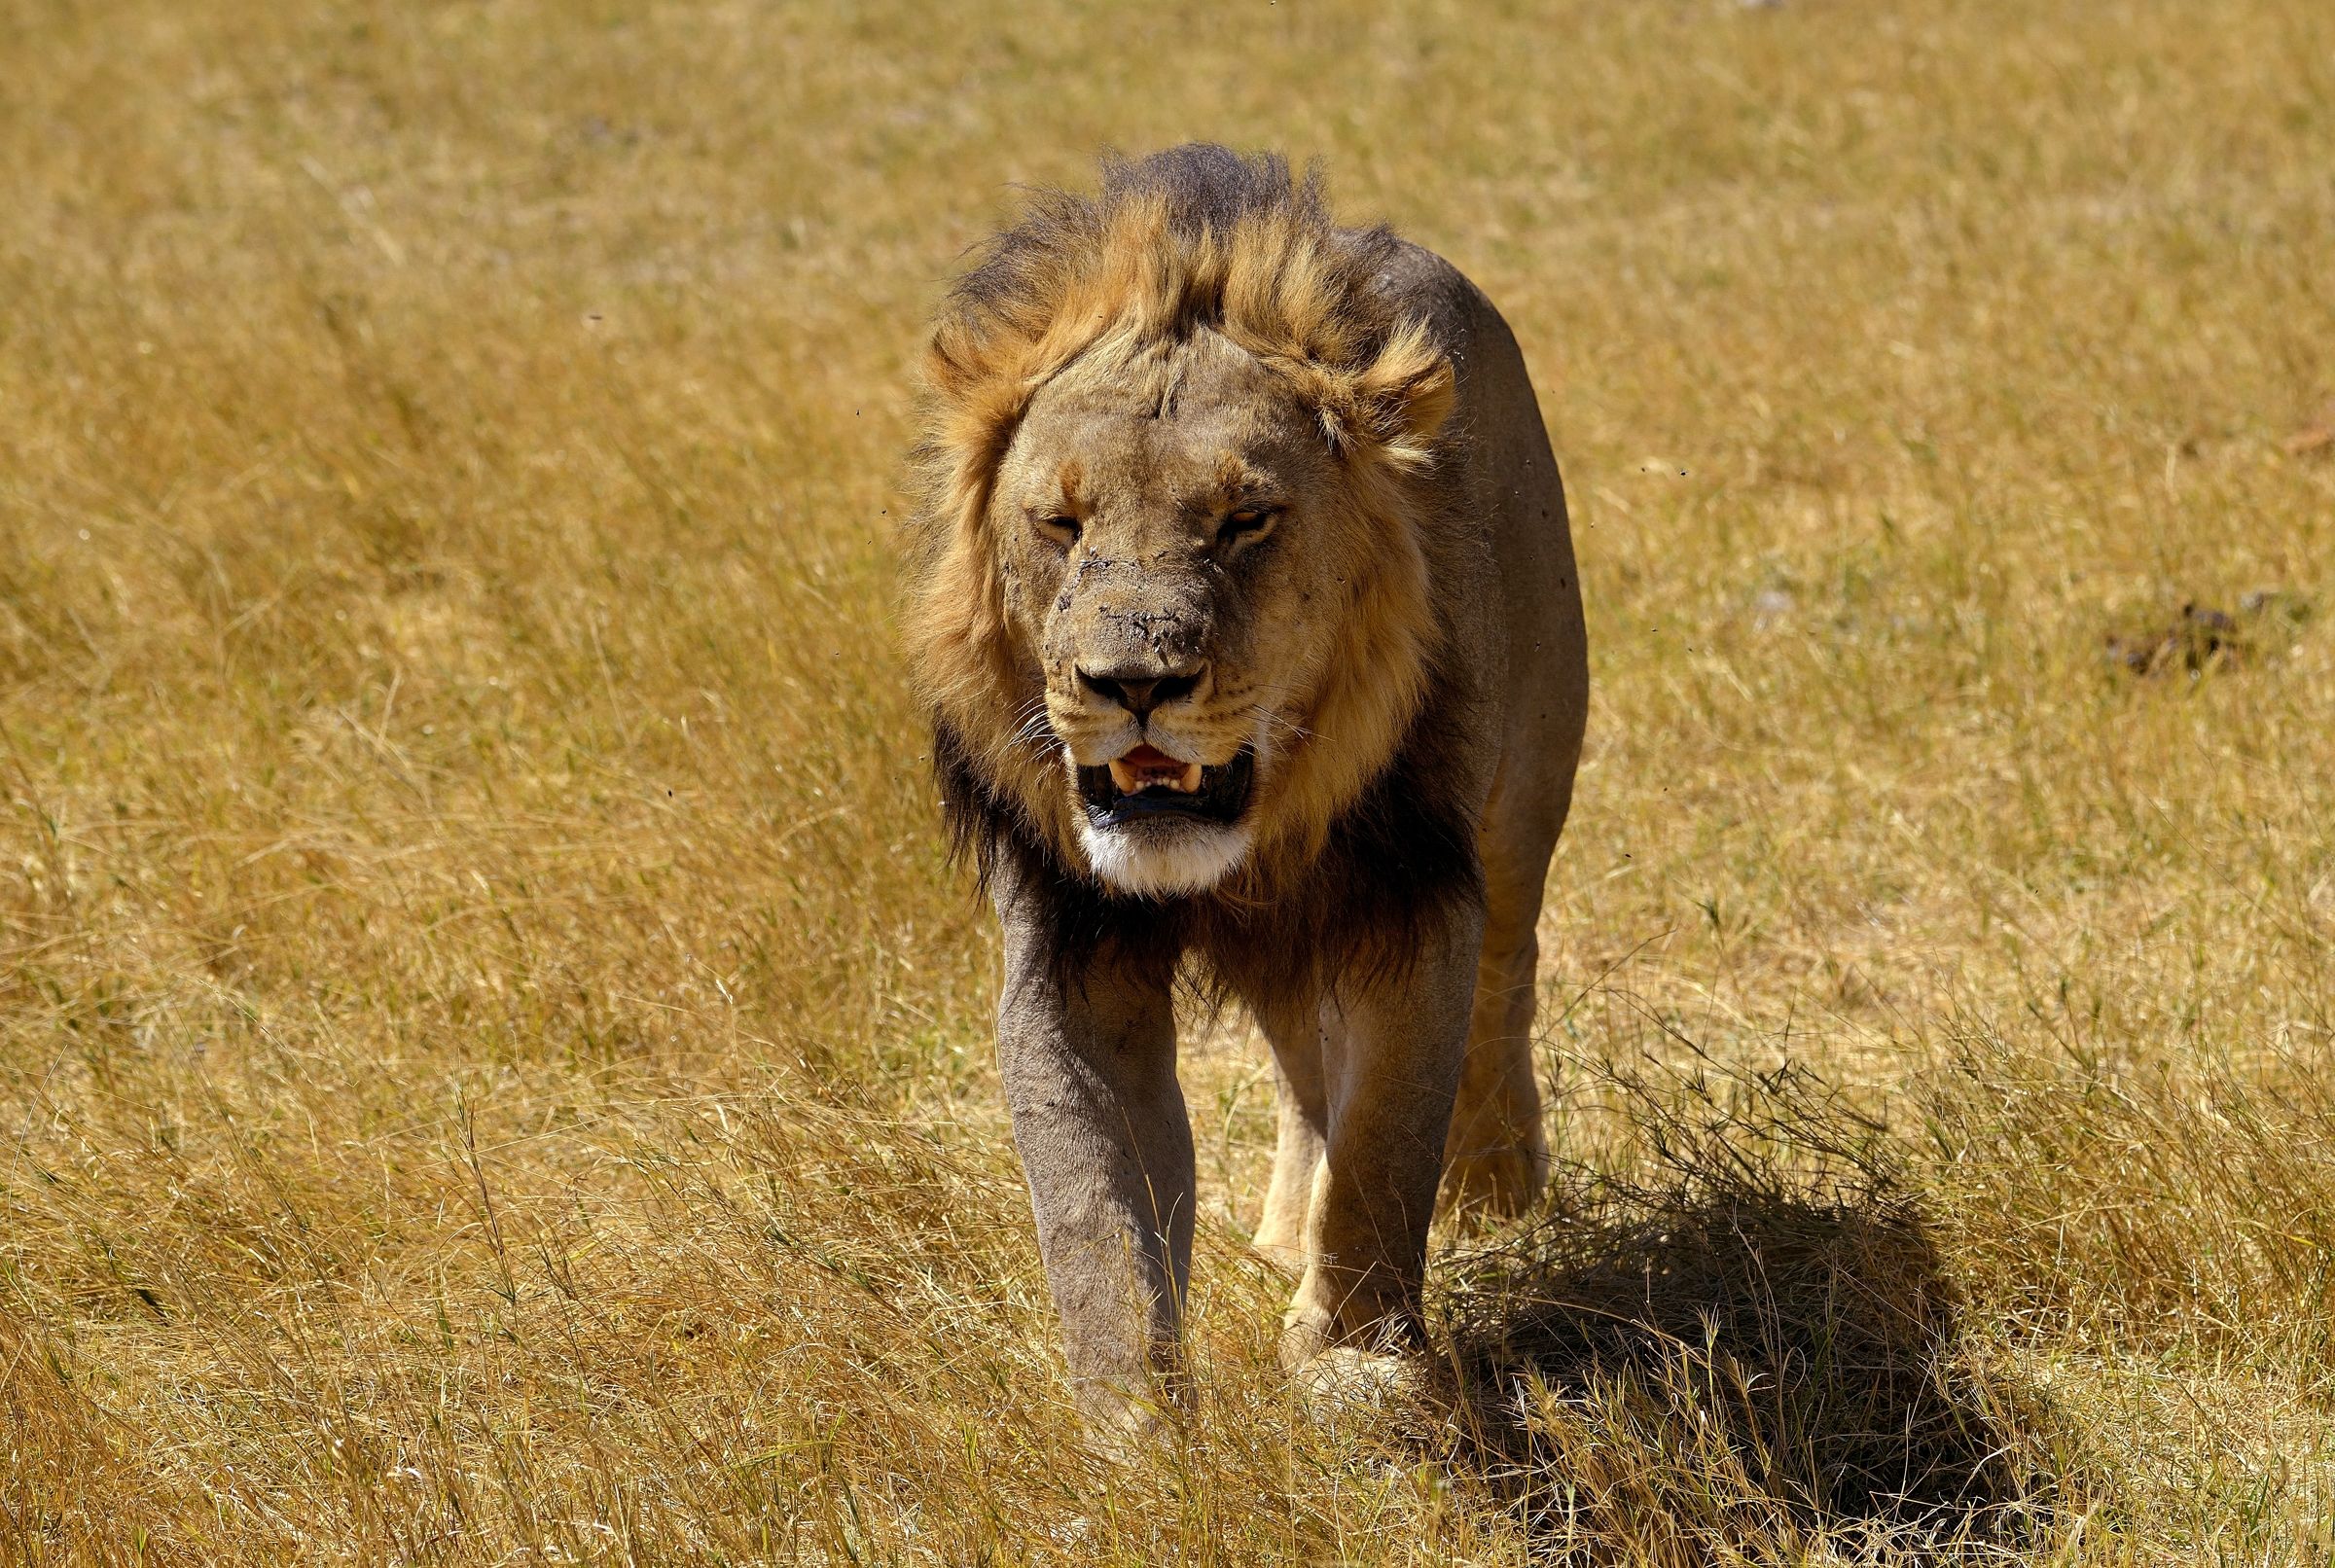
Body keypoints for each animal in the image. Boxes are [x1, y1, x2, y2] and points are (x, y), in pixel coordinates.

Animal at [904, 145, 1588, 1430]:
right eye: (1060, 521)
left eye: (1246, 519)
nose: (1133, 683)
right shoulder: (1068, 947)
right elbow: (1096, 1216)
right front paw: (1134, 1425)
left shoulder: (1411, 896)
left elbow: (1382, 1153)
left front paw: (1358, 1365)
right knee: (1298, 1070)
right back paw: (1279, 1233)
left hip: (1526, 801)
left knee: (1504, 988)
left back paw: (1494, 1190)